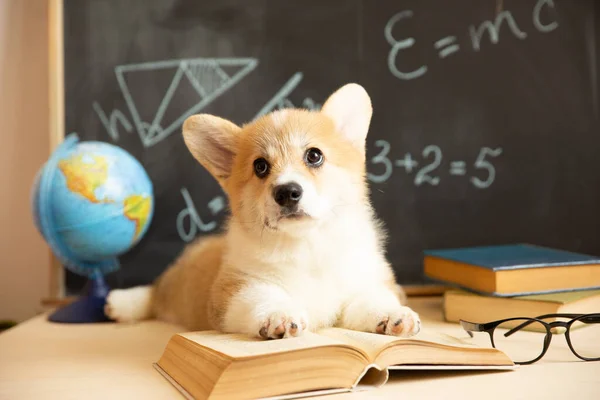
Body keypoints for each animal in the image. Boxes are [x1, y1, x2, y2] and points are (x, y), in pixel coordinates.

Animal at [104, 83, 422, 340]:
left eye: (314, 155)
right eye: (260, 166)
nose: (287, 192)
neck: (307, 247)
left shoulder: (365, 281)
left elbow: (371, 299)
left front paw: (394, 315)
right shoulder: (236, 289)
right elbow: (262, 297)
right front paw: (278, 314)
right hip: (177, 285)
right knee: (156, 291)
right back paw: (120, 303)